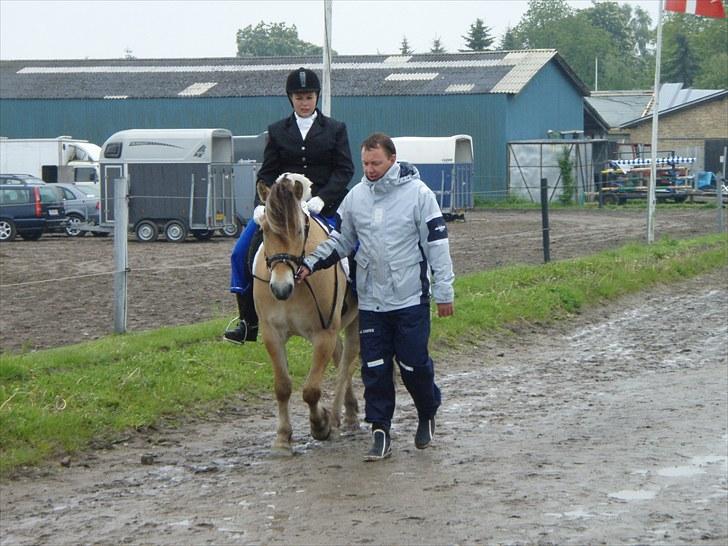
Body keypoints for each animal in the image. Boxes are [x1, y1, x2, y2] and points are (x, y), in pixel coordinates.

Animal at [253, 172, 362, 452]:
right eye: (264, 229)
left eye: (300, 231)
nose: (280, 288)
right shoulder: (272, 333)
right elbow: (282, 386)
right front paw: (282, 437)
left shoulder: (323, 333)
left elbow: (311, 389)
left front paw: (320, 424)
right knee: (341, 358)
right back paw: (349, 411)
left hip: (354, 321)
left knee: (347, 364)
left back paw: (339, 417)